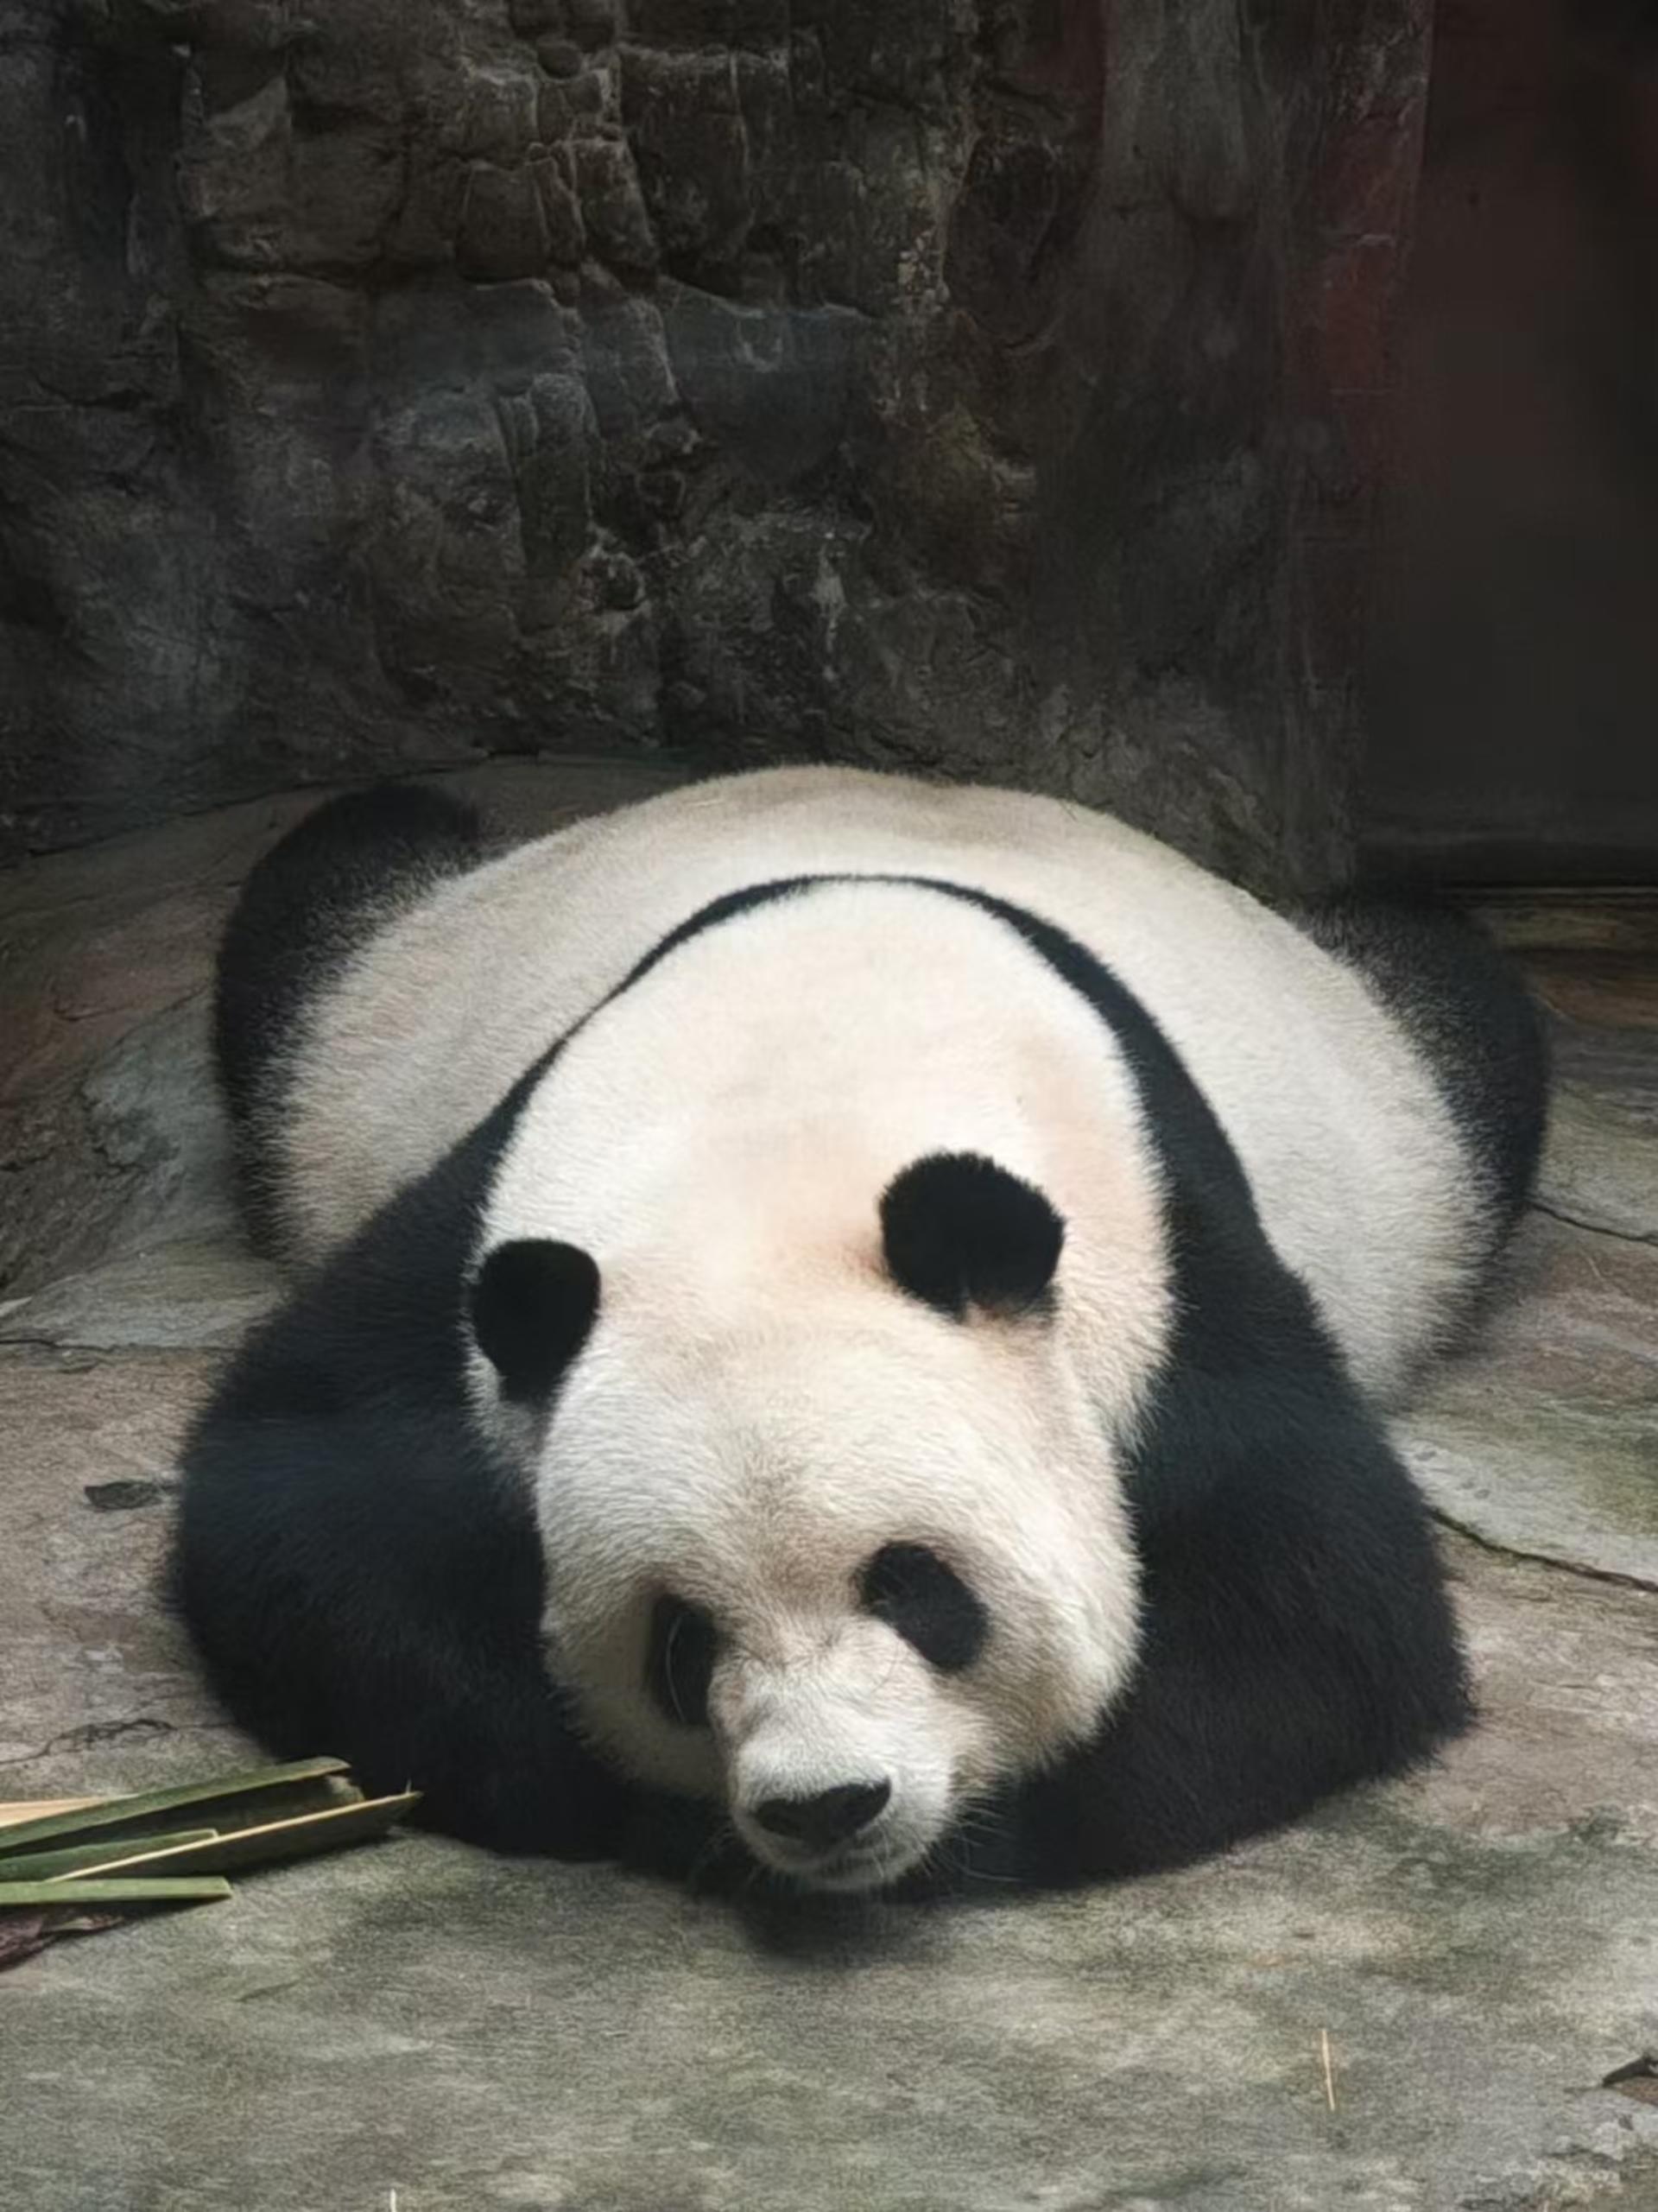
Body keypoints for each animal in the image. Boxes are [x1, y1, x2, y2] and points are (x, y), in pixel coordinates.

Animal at [176, 766, 1548, 1896]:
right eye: (680, 1641)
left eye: (919, 1588)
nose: (827, 1805)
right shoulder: (479, 1235)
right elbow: (300, 1517)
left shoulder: (1173, 1272)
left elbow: (1316, 1617)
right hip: (363, 1012)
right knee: (335, 873)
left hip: (1405, 1097)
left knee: (1459, 989)